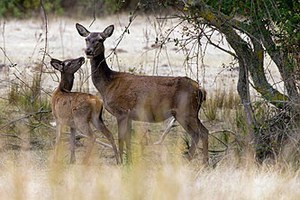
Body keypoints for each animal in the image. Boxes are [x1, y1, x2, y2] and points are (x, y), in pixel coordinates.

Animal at [76, 23, 210, 164]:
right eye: (87, 39)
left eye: (101, 39)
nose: (88, 51)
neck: (107, 85)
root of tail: (200, 90)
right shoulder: (129, 115)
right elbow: (128, 140)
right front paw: (129, 162)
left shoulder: (121, 111)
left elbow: (121, 139)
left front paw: (121, 162)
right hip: (192, 112)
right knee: (205, 131)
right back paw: (205, 163)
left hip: (184, 111)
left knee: (196, 134)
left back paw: (188, 160)